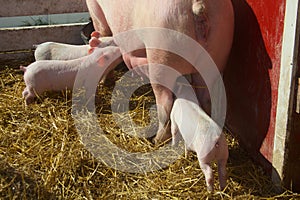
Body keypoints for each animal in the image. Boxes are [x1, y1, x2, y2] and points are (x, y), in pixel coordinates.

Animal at [86, 0, 234, 144]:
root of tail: (198, 5)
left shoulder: (95, 9)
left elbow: (103, 32)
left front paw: (104, 82)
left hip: (162, 55)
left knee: (165, 103)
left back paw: (157, 140)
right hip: (216, 56)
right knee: (206, 98)